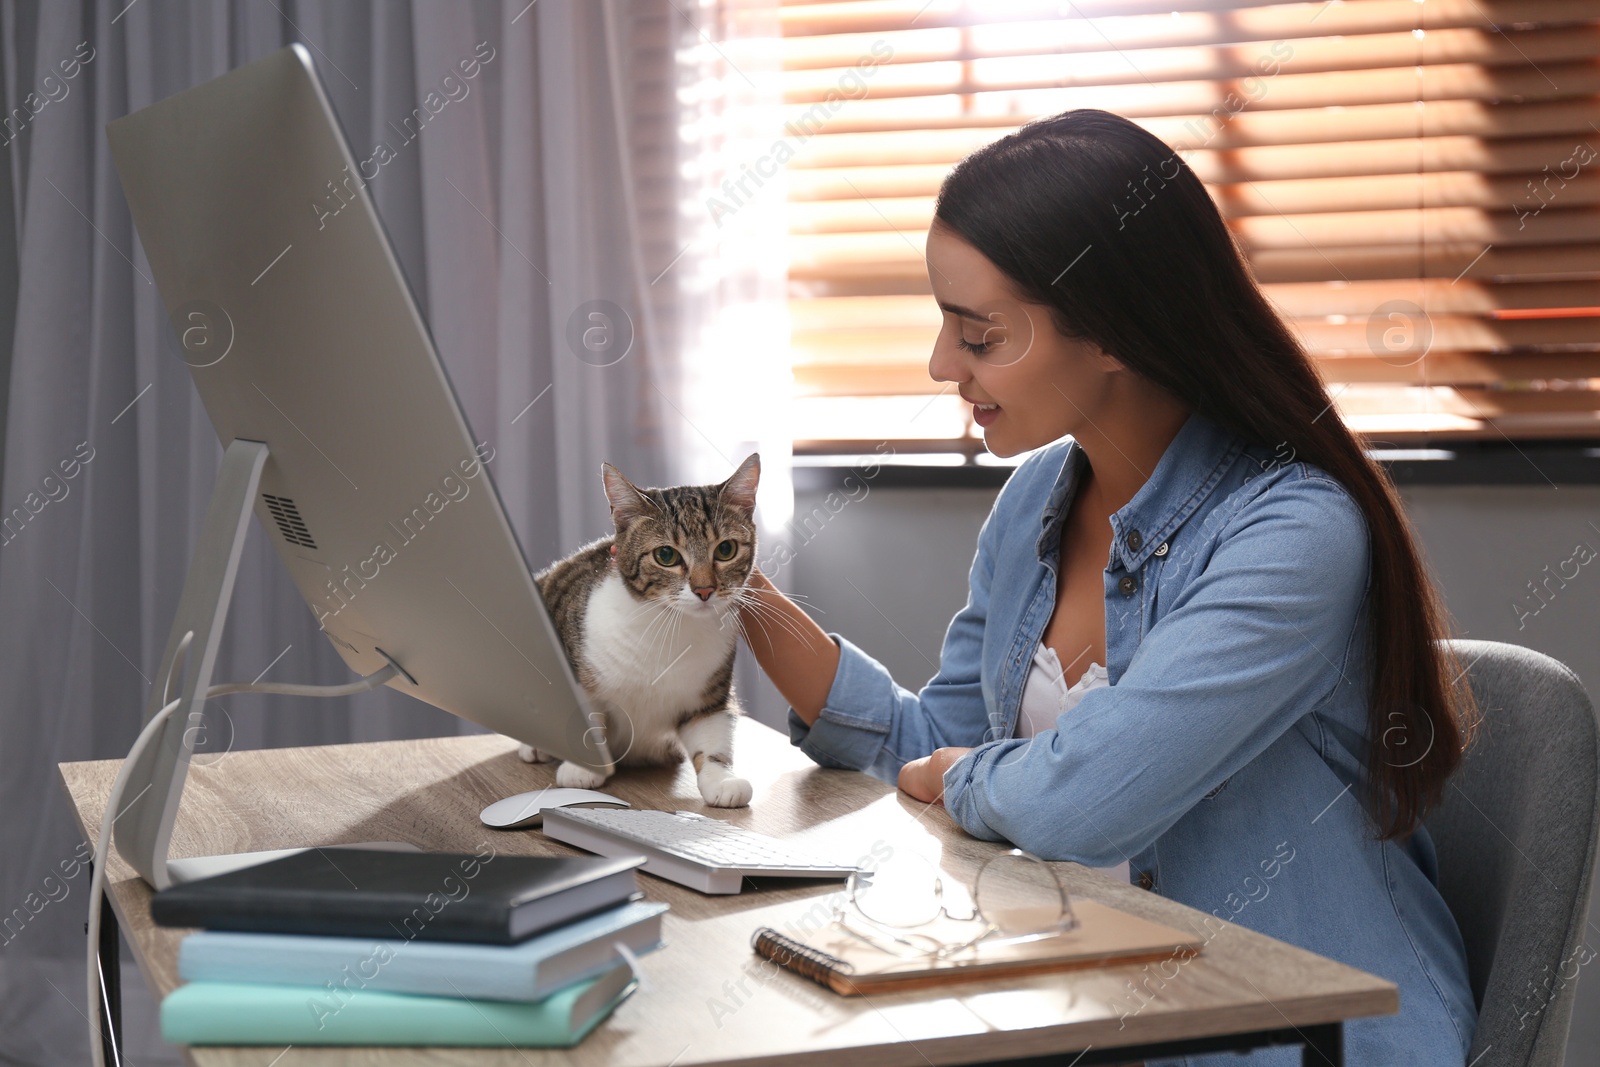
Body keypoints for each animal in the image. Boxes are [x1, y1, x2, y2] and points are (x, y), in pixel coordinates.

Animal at [512, 451, 761, 809]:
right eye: (666, 555)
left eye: (725, 549)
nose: (704, 590)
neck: (668, 626)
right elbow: (584, 717)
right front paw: (582, 768)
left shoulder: (709, 692)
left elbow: (711, 732)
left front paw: (723, 780)